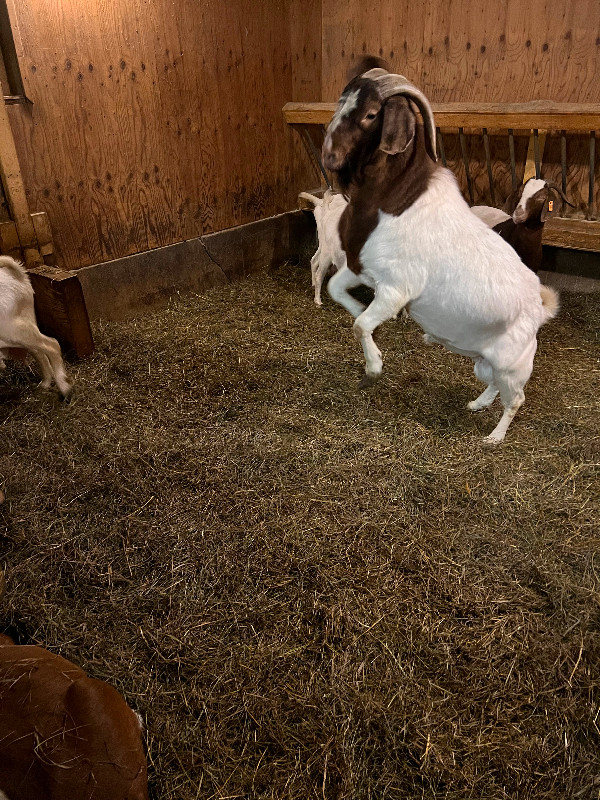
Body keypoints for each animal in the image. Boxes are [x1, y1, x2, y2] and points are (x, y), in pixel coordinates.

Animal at [0, 256, 72, 396]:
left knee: (52, 345)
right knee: (39, 351)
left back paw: (64, 388)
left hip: (11, 329)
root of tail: (19, 277)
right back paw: (45, 384)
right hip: (24, 325)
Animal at [322, 57, 560, 444]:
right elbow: (335, 291)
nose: (330, 156)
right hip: (485, 362)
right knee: (493, 385)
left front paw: (372, 369)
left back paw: (494, 437)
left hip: (514, 365)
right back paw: (476, 404)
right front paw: (359, 309)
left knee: (516, 399)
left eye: (372, 114)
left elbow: (359, 326)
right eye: (341, 101)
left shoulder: (396, 288)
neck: (396, 199)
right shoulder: (362, 268)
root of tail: (539, 312)